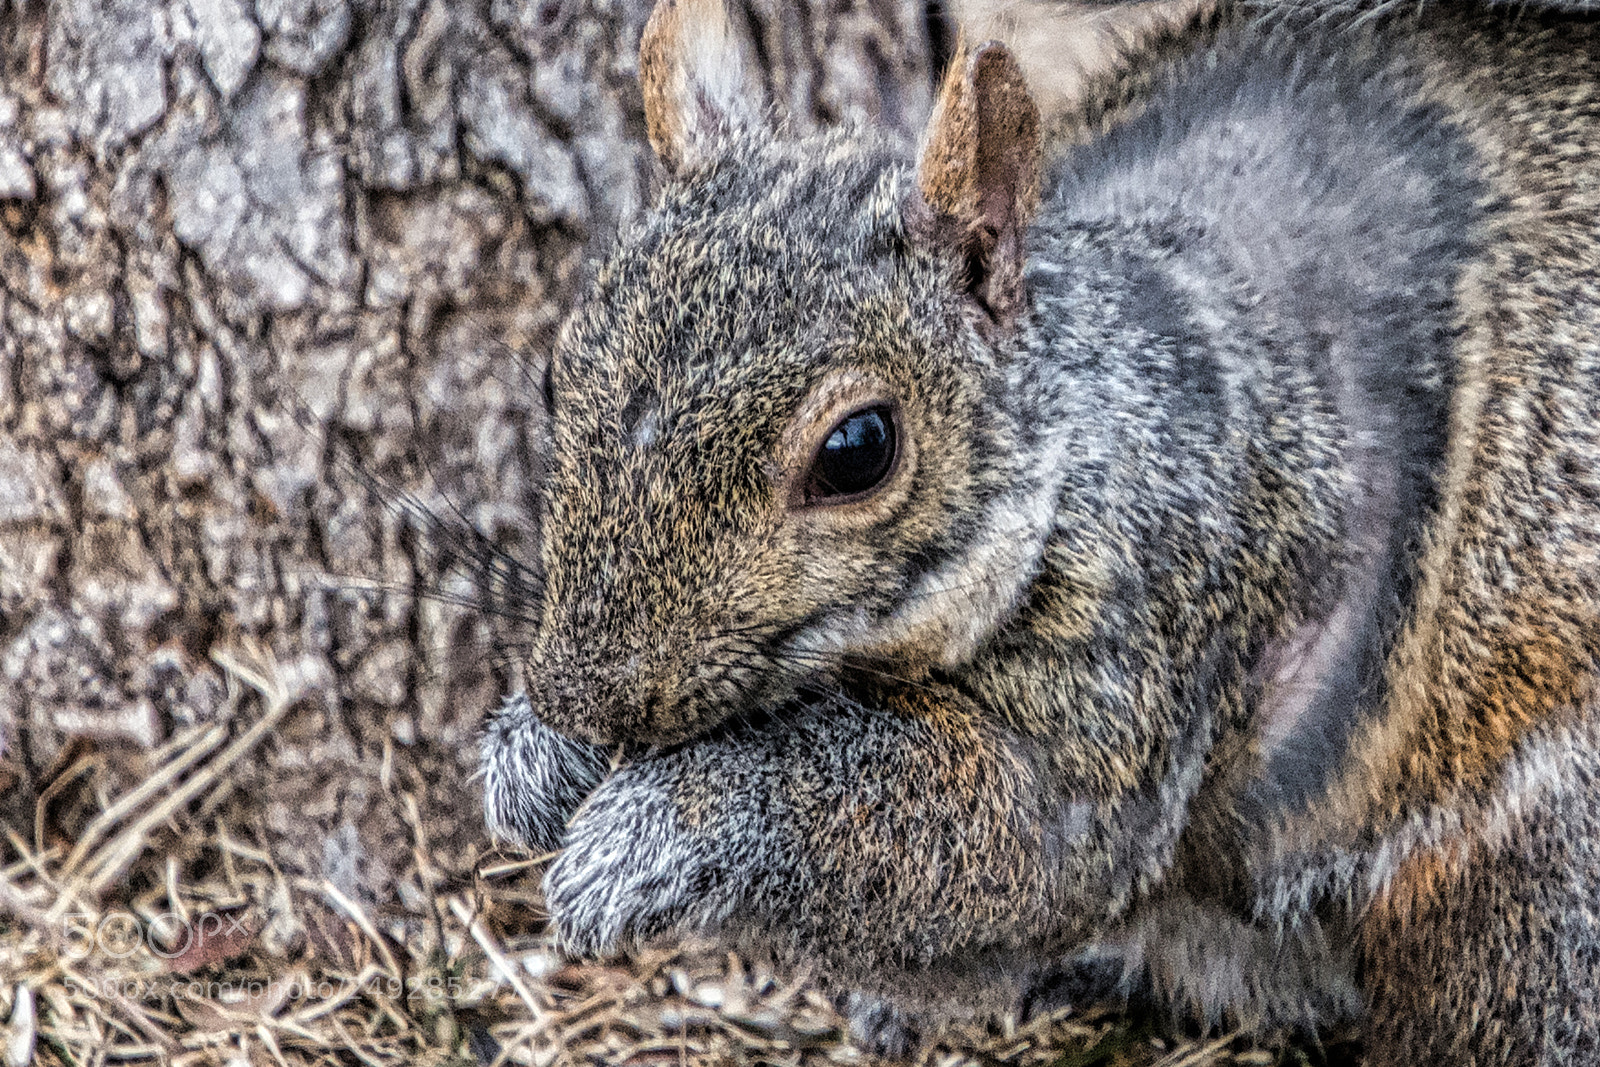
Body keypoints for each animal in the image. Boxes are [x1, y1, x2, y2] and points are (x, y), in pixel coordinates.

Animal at [479, 0, 1600, 1060]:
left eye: (858, 448)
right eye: (557, 374)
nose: (583, 696)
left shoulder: (1154, 626)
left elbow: (1029, 843)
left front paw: (660, 827)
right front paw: (537, 755)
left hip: (1532, 884)